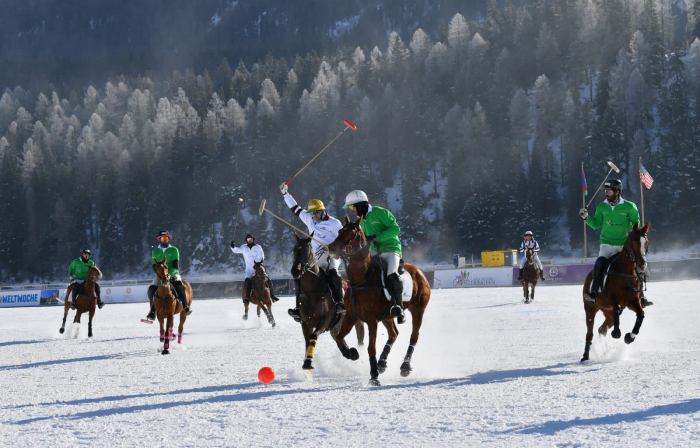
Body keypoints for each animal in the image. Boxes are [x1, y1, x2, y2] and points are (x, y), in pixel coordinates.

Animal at [328, 217, 432, 384]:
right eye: (340, 231)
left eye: (352, 233)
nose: (331, 248)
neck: (362, 279)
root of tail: (420, 272)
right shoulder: (351, 315)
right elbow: (339, 338)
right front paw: (352, 354)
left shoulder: (371, 320)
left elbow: (371, 347)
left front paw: (374, 376)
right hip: (387, 316)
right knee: (394, 334)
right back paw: (382, 363)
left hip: (418, 310)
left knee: (414, 336)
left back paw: (404, 366)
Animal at [580, 222, 652, 362]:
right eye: (632, 241)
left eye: (646, 242)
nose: (641, 265)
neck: (626, 273)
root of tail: (588, 276)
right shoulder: (613, 300)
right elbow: (616, 309)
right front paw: (617, 333)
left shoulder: (632, 302)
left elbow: (641, 314)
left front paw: (629, 337)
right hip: (590, 308)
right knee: (590, 332)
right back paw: (585, 356)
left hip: (607, 312)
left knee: (602, 329)